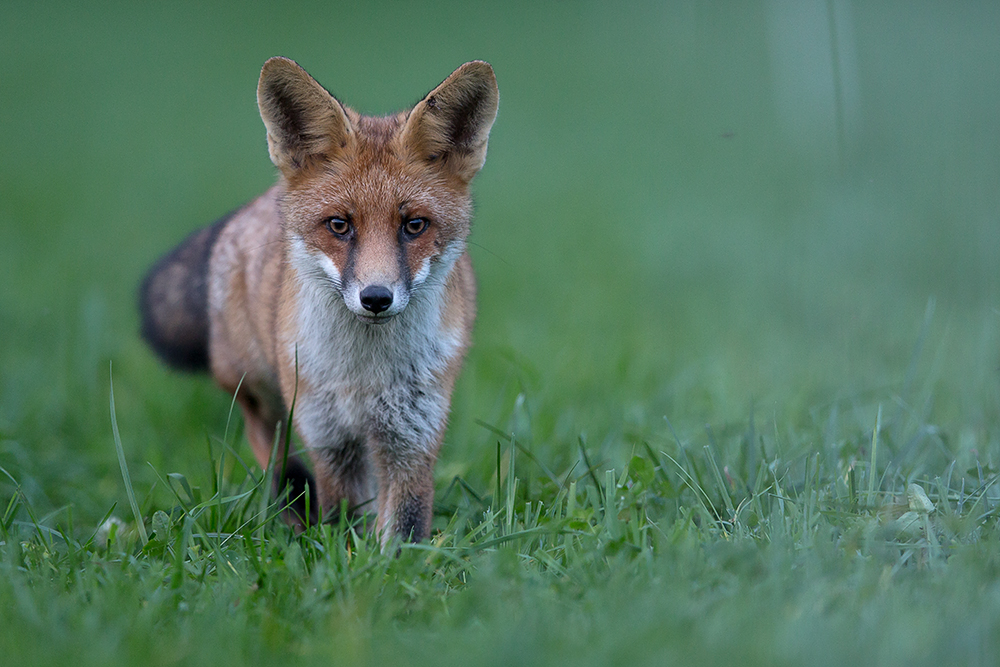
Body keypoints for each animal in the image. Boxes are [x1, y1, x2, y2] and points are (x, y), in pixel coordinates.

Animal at [139, 57, 498, 544]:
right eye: (339, 225)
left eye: (415, 225)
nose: (376, 298)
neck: (366, 376)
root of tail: (250, 209)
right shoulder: (329, 436)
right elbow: (343, 518)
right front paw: (340, 552)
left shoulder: (411, 434)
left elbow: (403, 525)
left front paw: (391, 561)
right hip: (256, 386)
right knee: (270, 448)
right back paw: (294, 506)